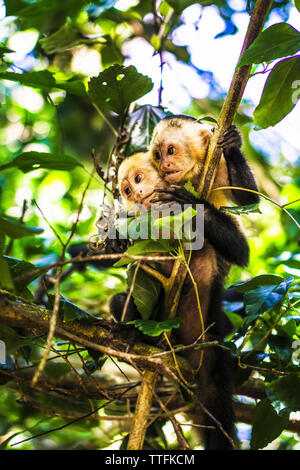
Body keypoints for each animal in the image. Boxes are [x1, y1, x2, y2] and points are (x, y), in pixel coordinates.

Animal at [110, 151, 251, 452]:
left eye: (138, 179)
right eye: (126, 191)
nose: (136, 194)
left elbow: (239, 250)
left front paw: (194, 206)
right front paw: (115, 240)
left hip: (210, 345)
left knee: (216, 384)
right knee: (119, 300)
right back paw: (137, 336)